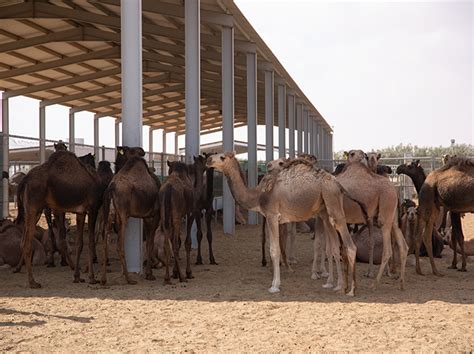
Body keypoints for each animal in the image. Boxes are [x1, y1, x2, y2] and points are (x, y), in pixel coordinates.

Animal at [99, 147, 159, 284]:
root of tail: (111, 189)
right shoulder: (153, 215)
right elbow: (150, 243)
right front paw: (149, 274)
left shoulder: (146, 216)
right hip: (123, 215)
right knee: (119, 245)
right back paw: (128, 278)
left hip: (107, 214)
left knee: (105, 242)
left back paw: (104, 279)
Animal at [206, 152, 360, 296]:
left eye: (222, 157)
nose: (208, 160)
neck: (258, 196)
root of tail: (337, 184)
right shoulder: (273, 218)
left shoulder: (272, 216)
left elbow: (275, 250)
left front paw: (274, 286)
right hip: (326, 211)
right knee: (334, 247)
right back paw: (336, 285)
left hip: (333, 204)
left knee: (350, 246)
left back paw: (351, 290)